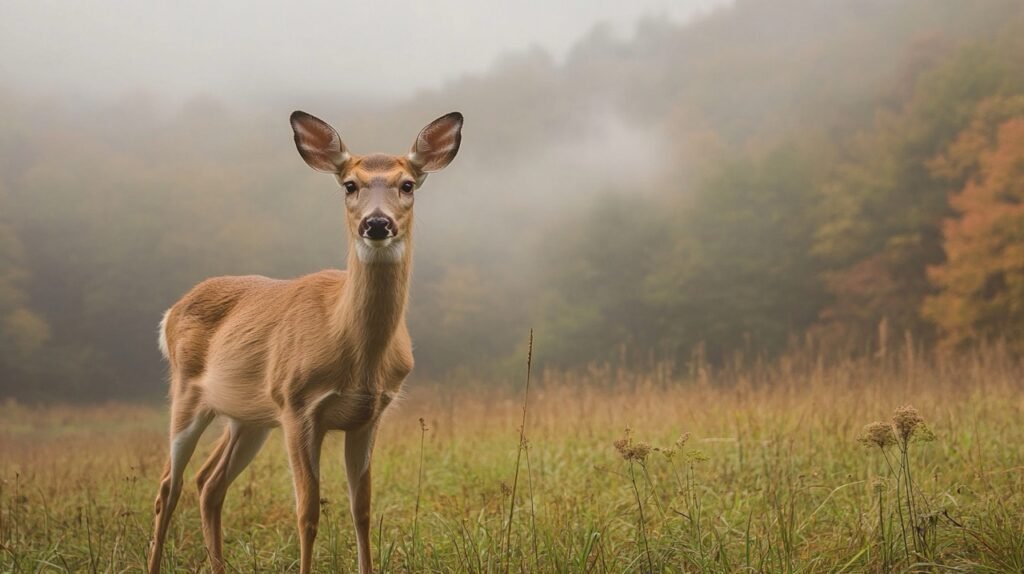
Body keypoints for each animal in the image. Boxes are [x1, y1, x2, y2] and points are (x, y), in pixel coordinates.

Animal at [145, 108, 464, 572]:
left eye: (407, 184)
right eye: (349, 185)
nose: (377, 223)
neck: (354, 347)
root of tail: (170, 312)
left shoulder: (369, 415)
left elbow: (362, 509)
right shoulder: (296, 405)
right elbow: (308, 511)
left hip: (249, 418)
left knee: (209, 482)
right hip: (188, 392)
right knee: (169, 484)